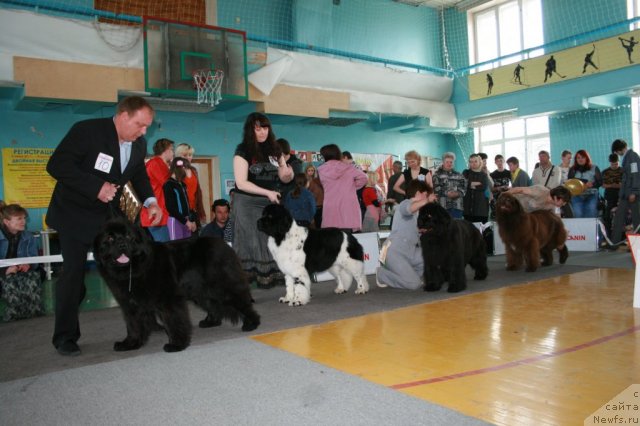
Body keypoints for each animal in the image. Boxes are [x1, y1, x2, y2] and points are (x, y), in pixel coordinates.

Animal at [92, 216, 260, 352]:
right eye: (110, 239)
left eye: (128, 236)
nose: (122, 244)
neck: (135, 269)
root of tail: (224, 244)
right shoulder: (129, 304)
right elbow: (133, 325)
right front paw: (130, 344)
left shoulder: (168, 298)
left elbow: (173, 321)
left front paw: (176, 344)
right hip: (202, 291)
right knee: (214, 305)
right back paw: (211, 322)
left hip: (221, 286)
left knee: (241, 301)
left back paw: (252, 323)